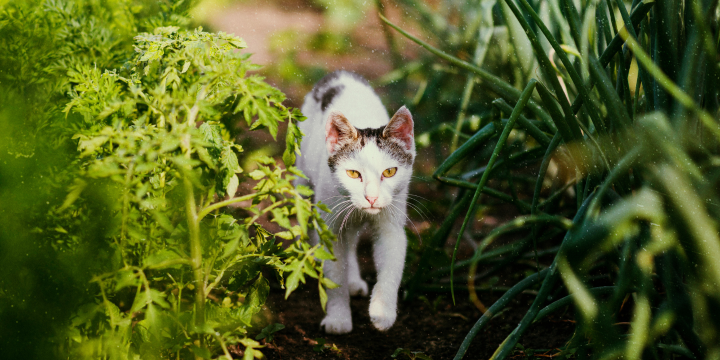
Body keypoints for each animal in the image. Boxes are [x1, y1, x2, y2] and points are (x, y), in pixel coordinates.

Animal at [294, 70, 416, 334]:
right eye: (352, 174)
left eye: (389, 172)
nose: (371, 197)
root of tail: (339, 73)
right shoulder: (330, 222)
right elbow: (334, 273)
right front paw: (338, 318)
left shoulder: (391, 223)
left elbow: (391, 267)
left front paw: (382, 312)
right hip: (304, 183)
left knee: (350, 240)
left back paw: (354, 280)